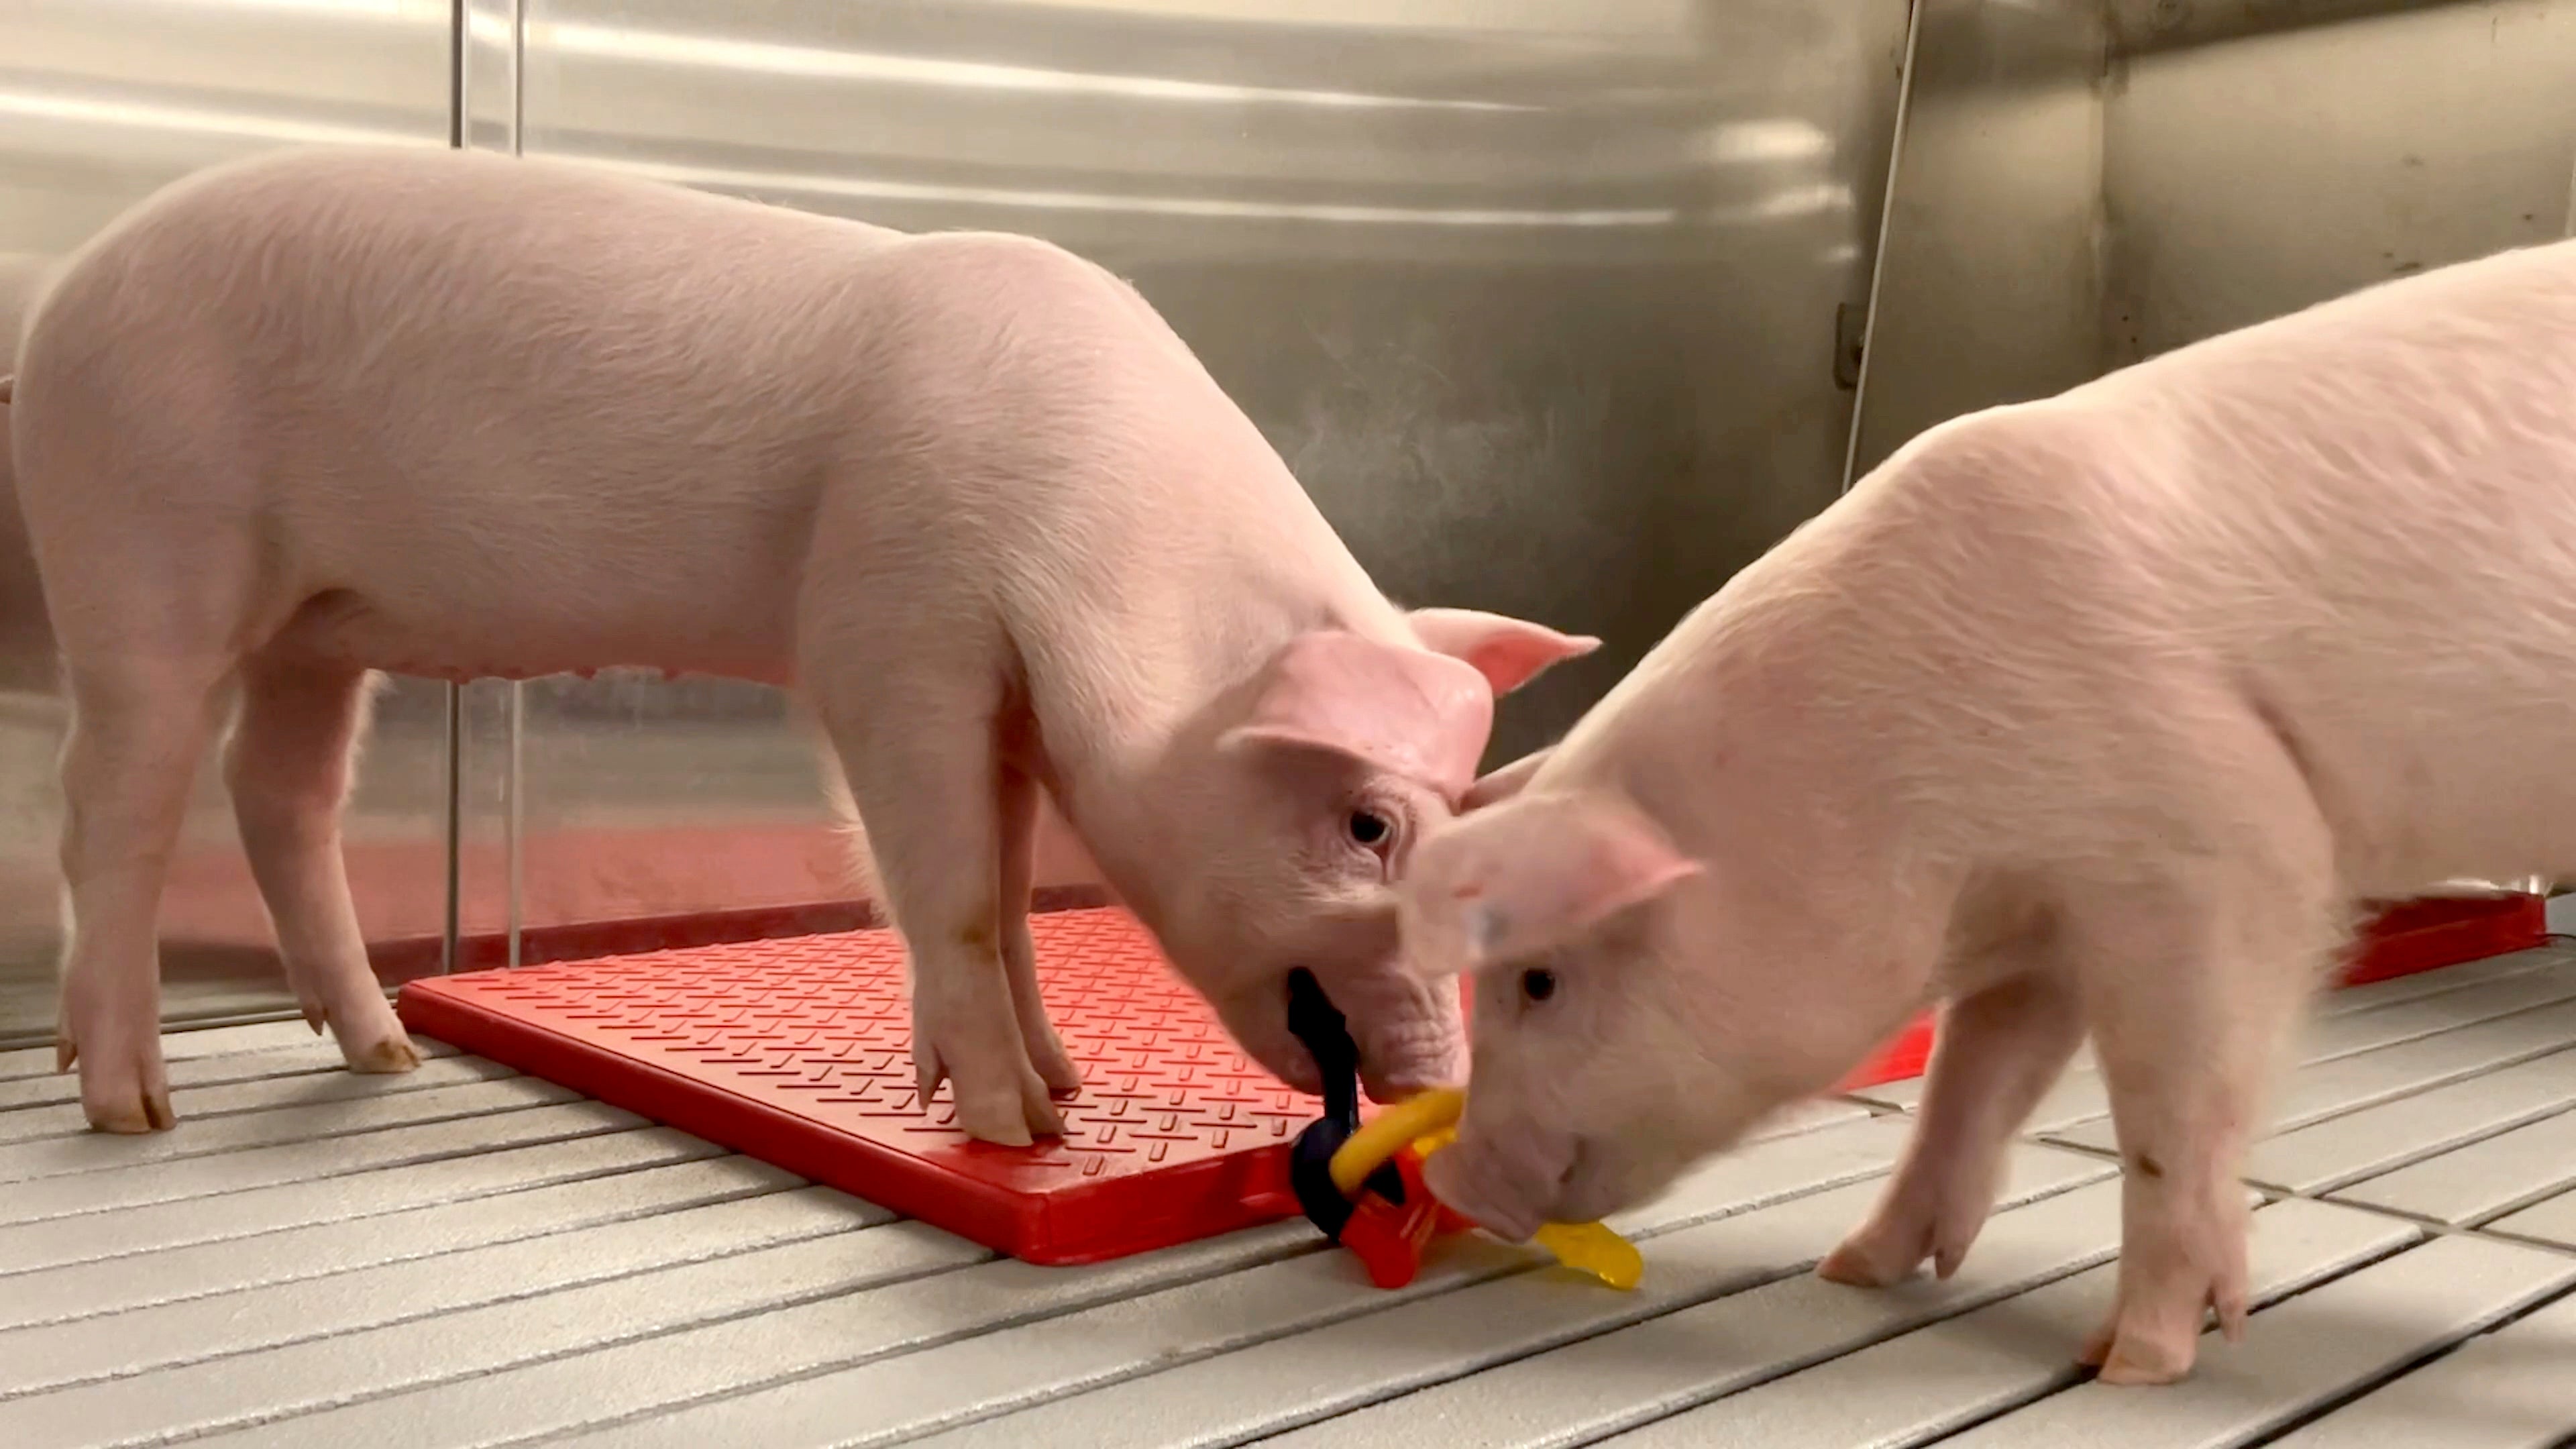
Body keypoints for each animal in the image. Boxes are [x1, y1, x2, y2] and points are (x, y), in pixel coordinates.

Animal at [10, 144, 1587, 1139]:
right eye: (1370, 825)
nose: (1443, 1081)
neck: (1097, 542)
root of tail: (60, 305)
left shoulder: (1007, 709)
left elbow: (1013, 889)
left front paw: (1065, 1089)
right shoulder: (891, 640)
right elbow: (949, 888)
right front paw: (1014, 1130)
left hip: (319, 630)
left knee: (280, 794)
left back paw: (385, 1056)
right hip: (144, 550)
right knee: (111, 813)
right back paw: (130, 1107)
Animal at [1401, 234, 2576, 1371]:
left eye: (1540, 981)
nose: (1455, 1175)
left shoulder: (2220, 845)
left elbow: (2173, 1108)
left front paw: (2137, 1362)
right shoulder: (2040, 921)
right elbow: (1970, 1081)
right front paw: (1851, 1271)